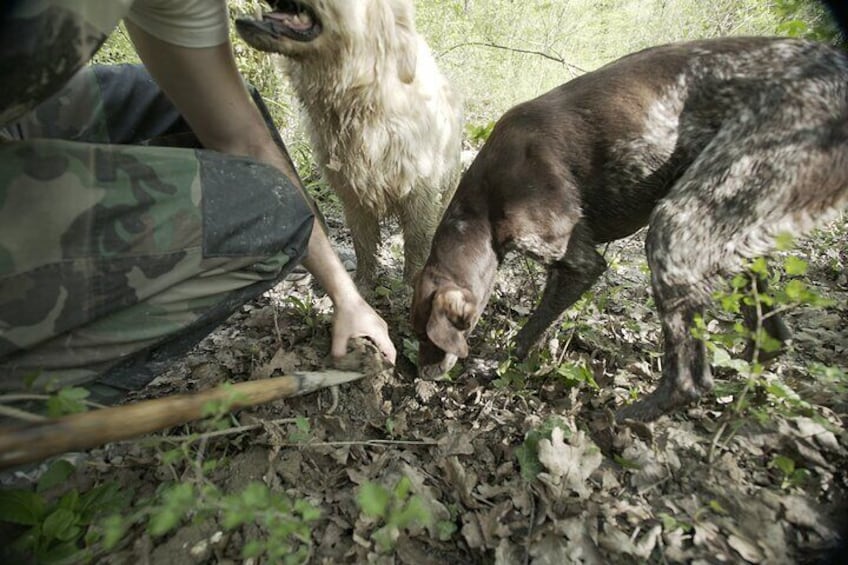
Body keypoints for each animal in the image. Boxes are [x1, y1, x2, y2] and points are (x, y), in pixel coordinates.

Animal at [237, 0, 464, 282]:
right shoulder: (352, 195)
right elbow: (363, 247)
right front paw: (362, 286)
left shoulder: (420, 194)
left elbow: (416, 249)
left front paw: (412, 286)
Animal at [410, 36, 848, 418]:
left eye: (427, 337)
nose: (419, 376)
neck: (481, 210)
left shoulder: (578, 262)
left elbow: (531, 327)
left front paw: (498, 364)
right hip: (733, 239)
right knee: (771, 339)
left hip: (677, 227)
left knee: (690, 378)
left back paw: (632, 416)